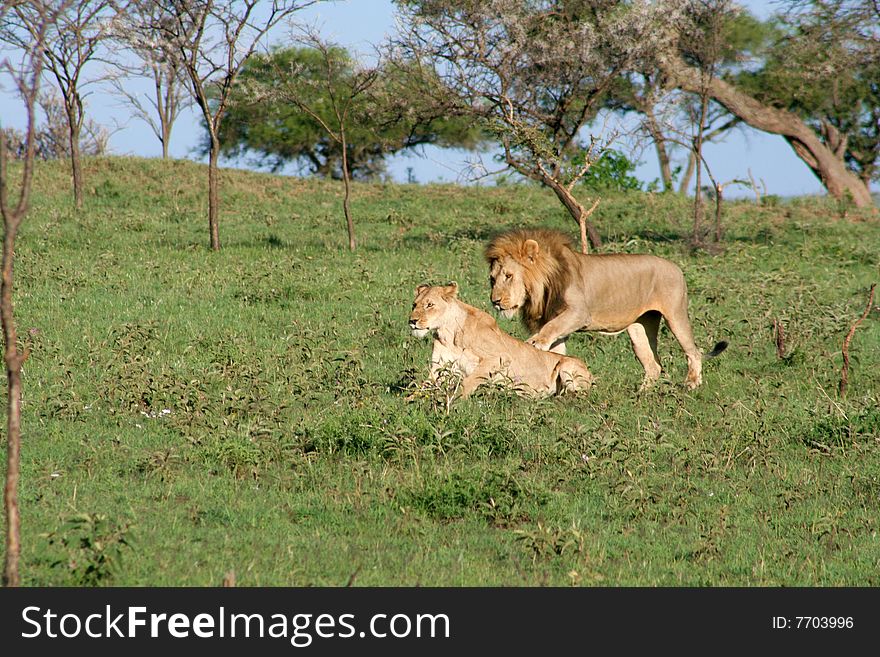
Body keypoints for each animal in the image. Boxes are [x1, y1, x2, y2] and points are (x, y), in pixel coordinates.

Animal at [410, 280, 596, 398]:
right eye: (414, 305)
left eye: (429, 305)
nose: (412, 321)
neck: (448, 333)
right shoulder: (438, 367)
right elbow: (420, 388)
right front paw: (408, 404)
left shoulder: (500, 357)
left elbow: (469, 380)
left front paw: (456, 402)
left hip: (567, 366)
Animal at [484, 228, 724, 386]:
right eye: (492, 279)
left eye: (509, 276)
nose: (495, 301)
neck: (542, 290)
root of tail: (677, 267)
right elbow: (557, 352)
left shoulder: (579, 313)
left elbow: (550, 330)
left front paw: (536, 342)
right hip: (640, 328)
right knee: (653, 365)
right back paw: (642, 395)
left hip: (675, 315)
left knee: (694, 351)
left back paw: (691, 384)